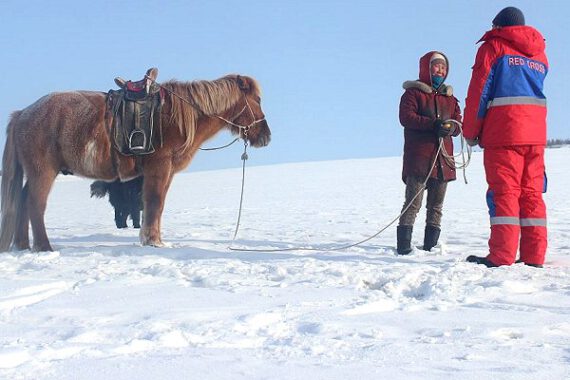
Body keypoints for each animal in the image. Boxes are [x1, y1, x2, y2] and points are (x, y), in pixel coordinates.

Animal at [0, 74, 270, 252]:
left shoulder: (166, 173)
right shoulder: (159, 168)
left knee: (22, 200)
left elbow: (156, 206)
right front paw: (152, 241)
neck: (177, 117)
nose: (265, 136)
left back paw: (22, 245)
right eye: (257, 100)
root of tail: (22, 114)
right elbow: (154, 203)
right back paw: (44, 247)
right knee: (35, 204)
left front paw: (154, 239)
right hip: (43, 171)